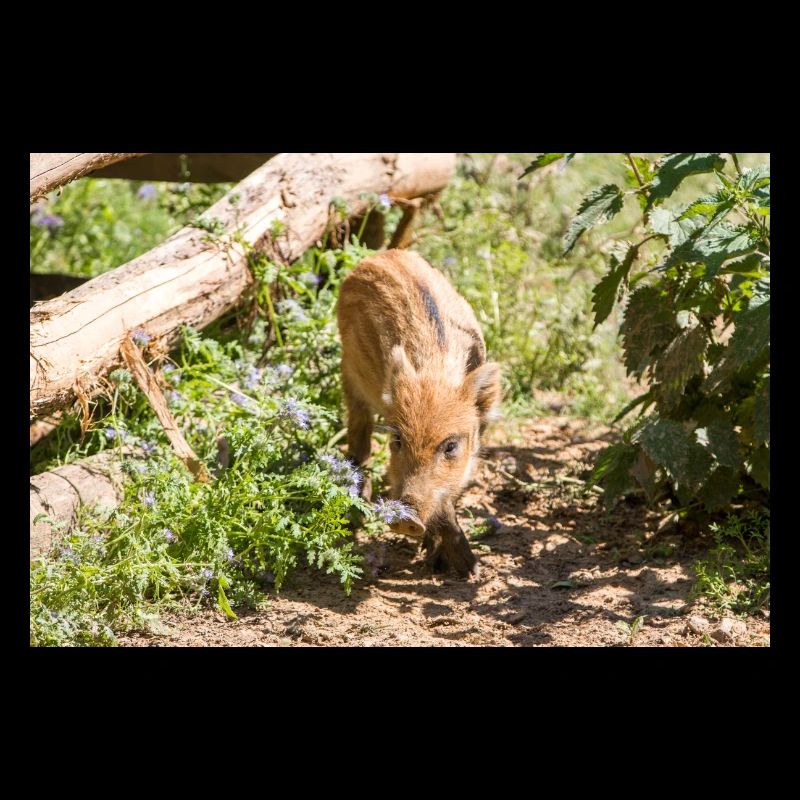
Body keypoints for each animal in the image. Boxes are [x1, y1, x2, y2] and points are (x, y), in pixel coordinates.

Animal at [337, 249, 501, 577]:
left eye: (450, 446)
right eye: (398, 441)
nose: (406, 519)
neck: (435, 374)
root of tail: (382, 255)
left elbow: (449, 494)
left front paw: (466, 570)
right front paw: (464, 568)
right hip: (349, 371)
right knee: (359, 438)